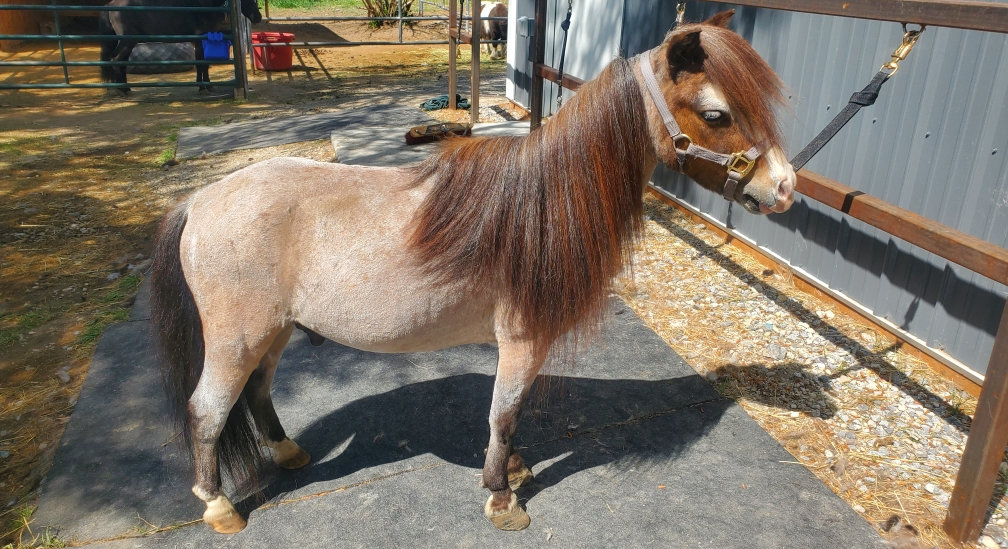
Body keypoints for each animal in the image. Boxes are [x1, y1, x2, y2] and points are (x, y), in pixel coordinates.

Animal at [98, 0, 262, 95]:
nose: (258, 17)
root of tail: (110, 5)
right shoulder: (200, 41)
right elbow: (202, 64)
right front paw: (203, 87)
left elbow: (203, 64)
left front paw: (205, 86)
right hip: (127, 42)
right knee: (116, 60)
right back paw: (122, 89)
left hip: (128, 43)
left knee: (121, 62)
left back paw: (124, 88)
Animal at [149, 10, 795, 535]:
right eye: (716, 113)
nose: (784, 188)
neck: (541, 208)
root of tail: (201, 200)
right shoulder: (523, 341)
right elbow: (503, 415)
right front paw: (502, 498)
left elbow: (511, 415)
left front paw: (512, 470)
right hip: (236, 338)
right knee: (207, 410)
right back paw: (219, 507)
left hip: (274, 331)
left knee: (257, 391)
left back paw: (287, 454)